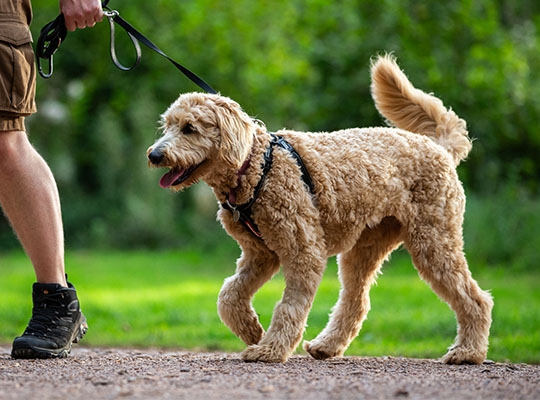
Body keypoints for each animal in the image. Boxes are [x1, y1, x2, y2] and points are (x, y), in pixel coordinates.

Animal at [148, 54, 494, 364]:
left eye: (189, 128)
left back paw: (468, 353)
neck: (256, 165)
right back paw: (327, 346)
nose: (154, 155)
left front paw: (269, 350)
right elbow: (229, 296)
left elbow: (288, 307)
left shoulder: (303, 251)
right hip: (365, 248)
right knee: (356, 301)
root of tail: (440, 149)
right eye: (167, 126)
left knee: (475, 298)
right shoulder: (259, 254)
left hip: (433, 241)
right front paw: (252, 331)